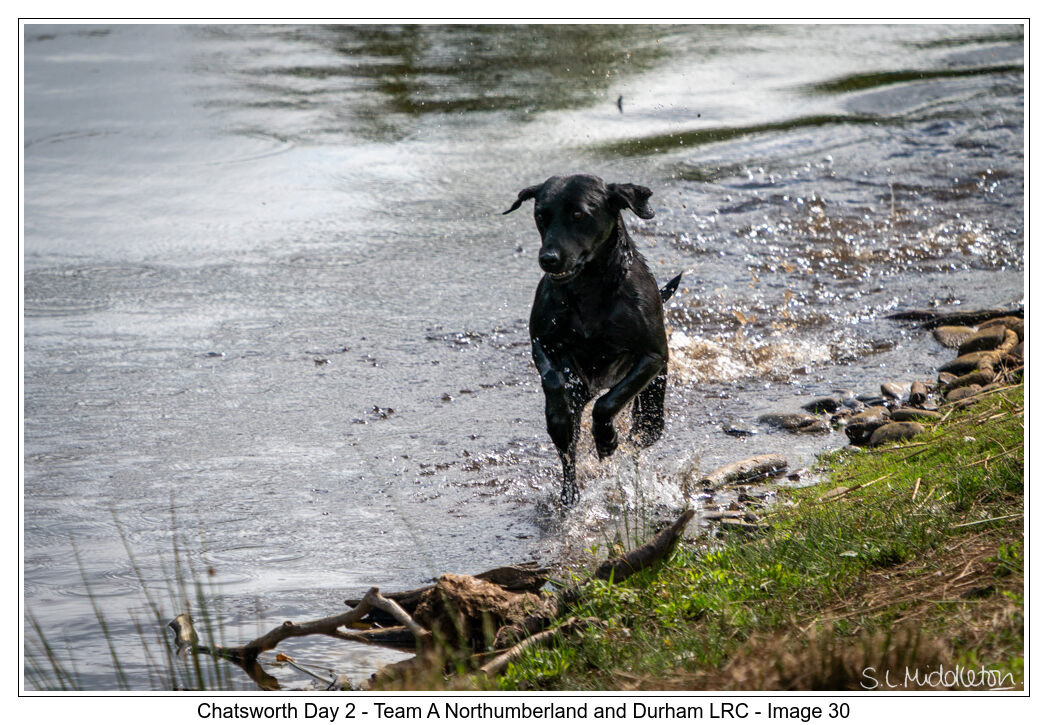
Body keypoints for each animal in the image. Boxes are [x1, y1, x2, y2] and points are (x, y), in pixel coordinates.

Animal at [504, 174, 681, 505]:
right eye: (541, 215)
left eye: (578, 215)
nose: (548, 259)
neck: (589, 289)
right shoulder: (542, 343)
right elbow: (554, 380)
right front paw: (562, 412)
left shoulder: (651, 357)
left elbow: (608, 403)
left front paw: (607, 438)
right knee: (568, 451)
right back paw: (569, 493)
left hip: (651, 411)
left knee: (639, 438)